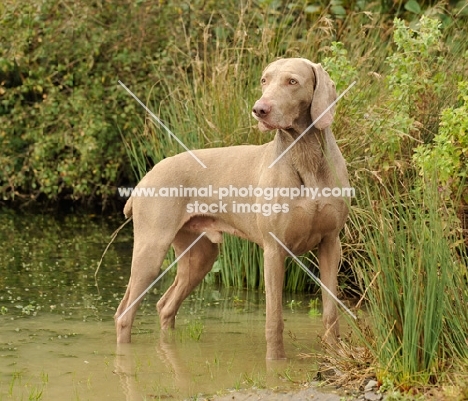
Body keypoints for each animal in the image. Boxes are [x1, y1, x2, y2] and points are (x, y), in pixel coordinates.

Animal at [116, 58, 352, 360]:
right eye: (264, 80)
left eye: (292, 81)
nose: (259, 109)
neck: (305, 157)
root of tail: (145, 177)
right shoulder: (273, 250)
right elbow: (274, 318)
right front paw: (275, 361)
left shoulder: (331, 243)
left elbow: (331, 311)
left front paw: (334, 354)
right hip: (151, 248)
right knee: (125, 313)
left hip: (200, 254)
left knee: (165, 305)